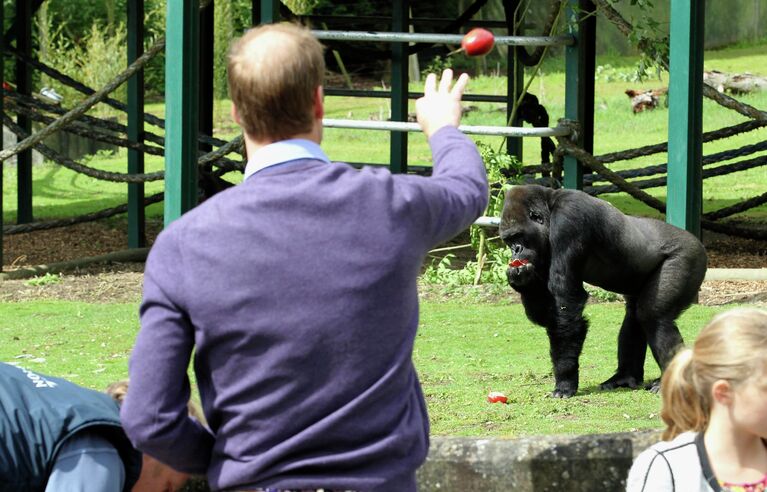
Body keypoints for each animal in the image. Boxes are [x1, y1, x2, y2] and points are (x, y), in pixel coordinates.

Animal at [498, 186, 708, 398]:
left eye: (518, 236)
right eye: (508, 240)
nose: (515, 250)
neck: (550, 206)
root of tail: (698, 242)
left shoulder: (568, 220)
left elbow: (566, 302)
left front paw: (565, 382)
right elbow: (548, 312)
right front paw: (522, 281)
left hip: (688, 256)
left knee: (654, 317)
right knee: (634, 315)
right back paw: (625, 377)